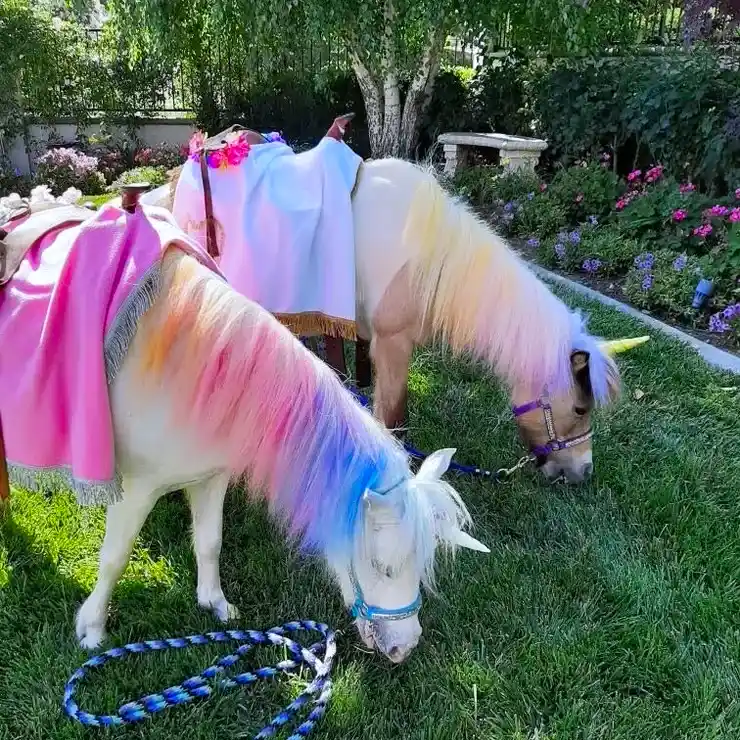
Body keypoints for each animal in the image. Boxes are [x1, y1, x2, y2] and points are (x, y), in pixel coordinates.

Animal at [0, 193, 489, 662]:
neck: (200, 373)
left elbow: (210, 542)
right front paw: (93, 629)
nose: (405, 647)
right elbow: (114, 558)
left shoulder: (210, 477)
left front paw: (216, 605)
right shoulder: (135, 489)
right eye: (384, 567)